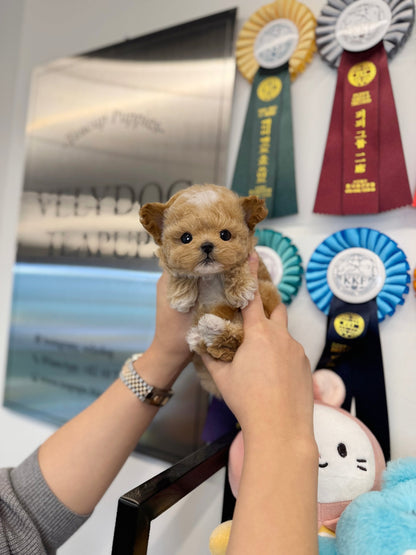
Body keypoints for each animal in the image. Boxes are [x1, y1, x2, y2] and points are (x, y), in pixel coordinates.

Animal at [139, 185, 280, 398]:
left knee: (235, 339)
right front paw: (181, 296)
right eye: (186, 238)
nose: (206, 245)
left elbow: (236, 266)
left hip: (265, 295)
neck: (209, 276)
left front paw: (241, 289)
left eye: (225, 235)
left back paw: (211, 328)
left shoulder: (255, 267)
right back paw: (201, 334)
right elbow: (181, 273)